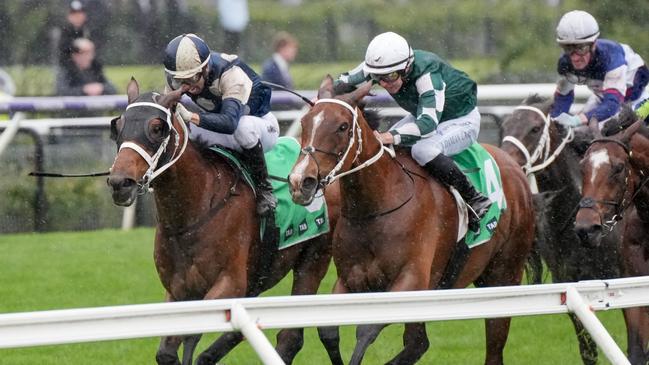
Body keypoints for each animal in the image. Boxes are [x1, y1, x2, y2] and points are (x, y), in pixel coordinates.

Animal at [106, 79, 340, 364]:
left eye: (157, 128)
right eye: (118, 126)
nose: (120, 183)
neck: (194, 212)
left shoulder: (229, 282)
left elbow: (194, 337)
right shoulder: (178, 290)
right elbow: (168, 352)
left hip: (314, 257)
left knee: (291, 336)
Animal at [290, 74, 536, 364]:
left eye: (342, 126)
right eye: (305, 122)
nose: (300, 181)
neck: (376, 208)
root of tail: (516, 169)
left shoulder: (412, 280)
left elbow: (366, 330)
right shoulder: (349, 279)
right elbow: (328, 331)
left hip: (504, 273)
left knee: (493, 346)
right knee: (418, 343)